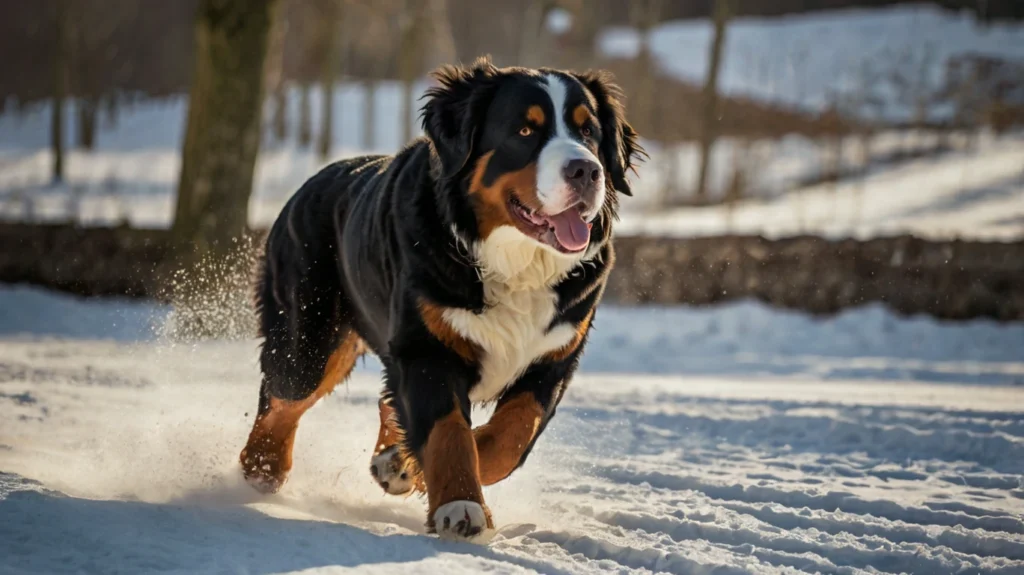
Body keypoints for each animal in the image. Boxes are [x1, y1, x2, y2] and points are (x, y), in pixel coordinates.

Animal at [237, 56, 638, 540]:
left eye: (588, 131)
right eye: (525, 131)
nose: (586, 170)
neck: (515, 263)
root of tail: (312, 182)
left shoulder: (554, 359)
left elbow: (509, 437)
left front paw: (406, 464)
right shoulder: (427, 348)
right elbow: (449, 432)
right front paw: (459, 505)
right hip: (309, 339)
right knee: (281, 397)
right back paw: (263, 464)